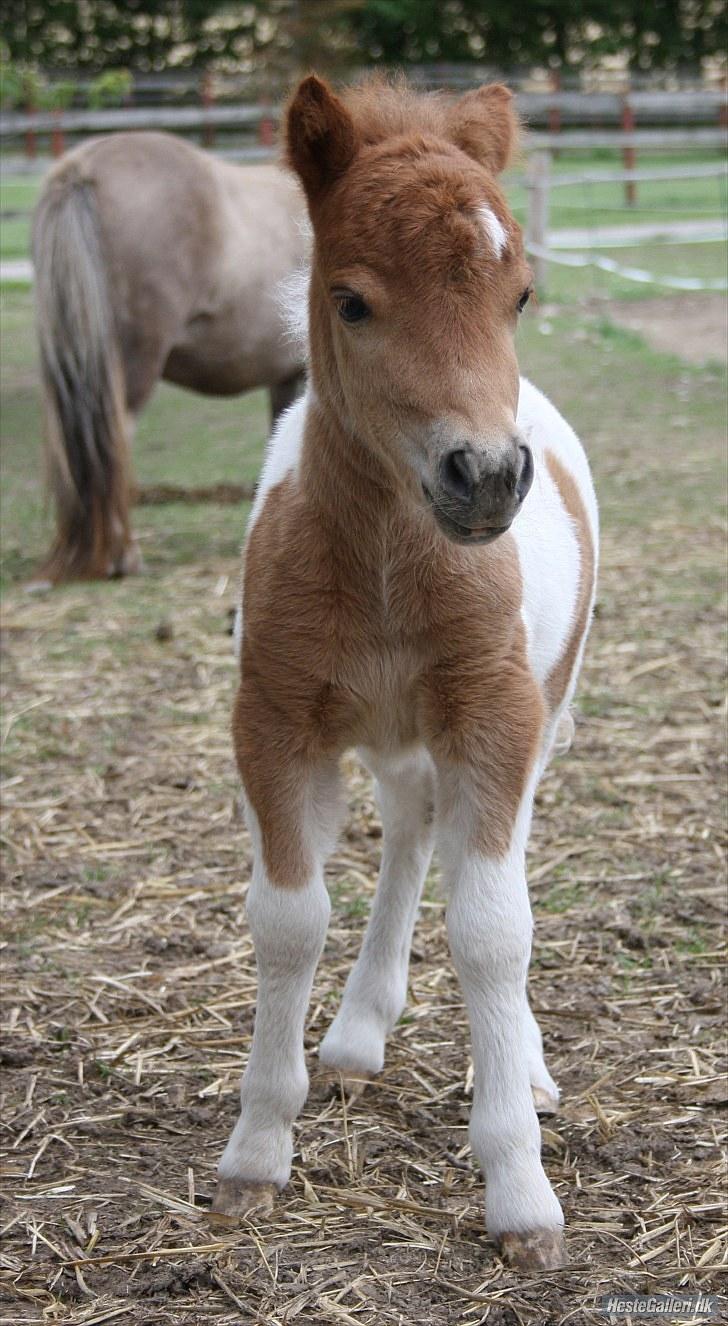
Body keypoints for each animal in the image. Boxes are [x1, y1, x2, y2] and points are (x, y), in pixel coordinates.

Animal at [210, 75, 596, 1272]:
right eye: (351, 303)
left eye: (520, 295)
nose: (487, 476)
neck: (387, 564)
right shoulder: (274, 720)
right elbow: (289, 919)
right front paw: (257, 1150)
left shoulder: (497, 715)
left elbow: (493, 927)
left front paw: (520, 1191)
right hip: (390, 736)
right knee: (413, 833)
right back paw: (354, 1035)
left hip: (538, 711)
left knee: (476, 855)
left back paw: (521, 1065)